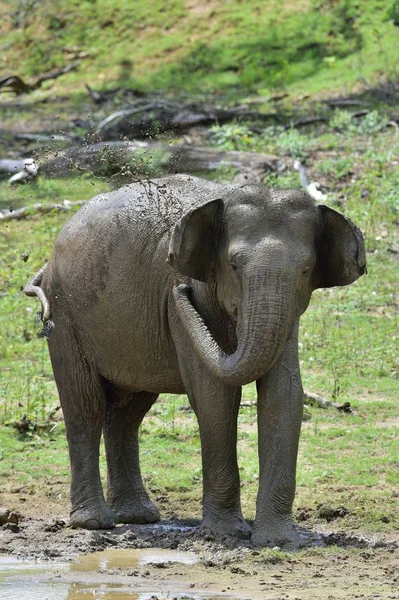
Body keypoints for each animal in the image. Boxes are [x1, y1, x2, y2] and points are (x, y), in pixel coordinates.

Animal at [25, 176, 368, 548]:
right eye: (234, 266)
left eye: (306, 270)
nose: (180, 291)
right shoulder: (187, 303)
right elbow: (214, 395)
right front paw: (227, 535)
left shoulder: (290, 312)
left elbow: (284, 394)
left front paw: (278, 542)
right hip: (66, 314)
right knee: (85, 406)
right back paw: (95, 522)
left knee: (127, 413)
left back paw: (138, 516)